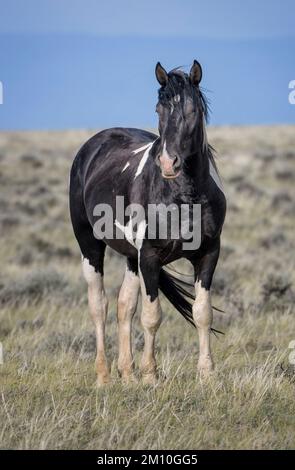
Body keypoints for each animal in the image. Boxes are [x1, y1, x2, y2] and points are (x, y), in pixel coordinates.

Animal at [69, 60, 227, 386]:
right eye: (159, 109)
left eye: (194, 109)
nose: (168, 163)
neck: (185, 195)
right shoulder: (151, 256)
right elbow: (152, 316)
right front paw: (150, 374)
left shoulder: (208, 253)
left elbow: (202, 312)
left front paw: (206, 374)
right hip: (89, 245)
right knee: (99, 305)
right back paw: (104, 376)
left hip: (132, 257)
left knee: (123, 307)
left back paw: (127, 374)